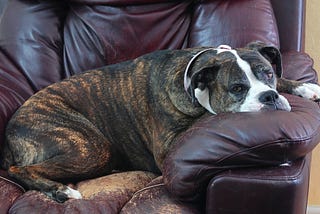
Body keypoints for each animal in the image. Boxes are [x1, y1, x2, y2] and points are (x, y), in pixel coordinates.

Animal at [0, 41, 320, 202]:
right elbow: (210, 115)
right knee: (21, 169)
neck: (195, 78)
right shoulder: (167, 147)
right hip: (89, 147)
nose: (269, 97)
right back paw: (60, 190)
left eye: (269, 73)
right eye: (237, 88)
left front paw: (305, 87)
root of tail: (11, 129)